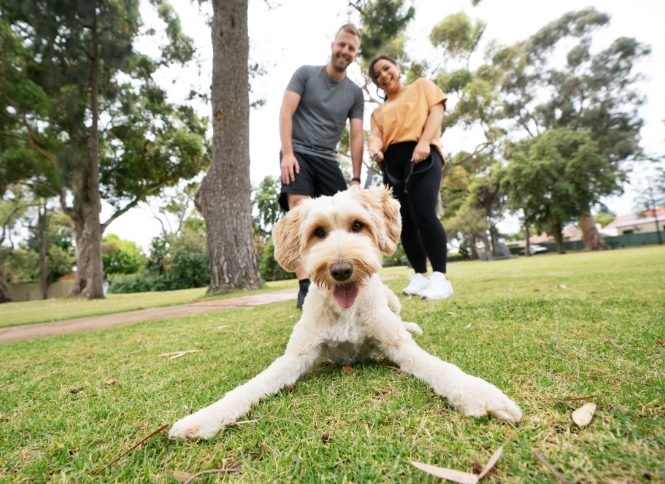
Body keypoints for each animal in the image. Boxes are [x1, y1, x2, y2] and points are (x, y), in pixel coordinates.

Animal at [169, 187, 520, 440]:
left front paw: (480, 393)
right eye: (318, 232)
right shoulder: (296, 355)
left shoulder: (396, 345)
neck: (345, 310)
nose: (341, 270)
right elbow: (251, 385)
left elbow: (440, 367)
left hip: (392, 300)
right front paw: (205, 417)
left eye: (358, 226)